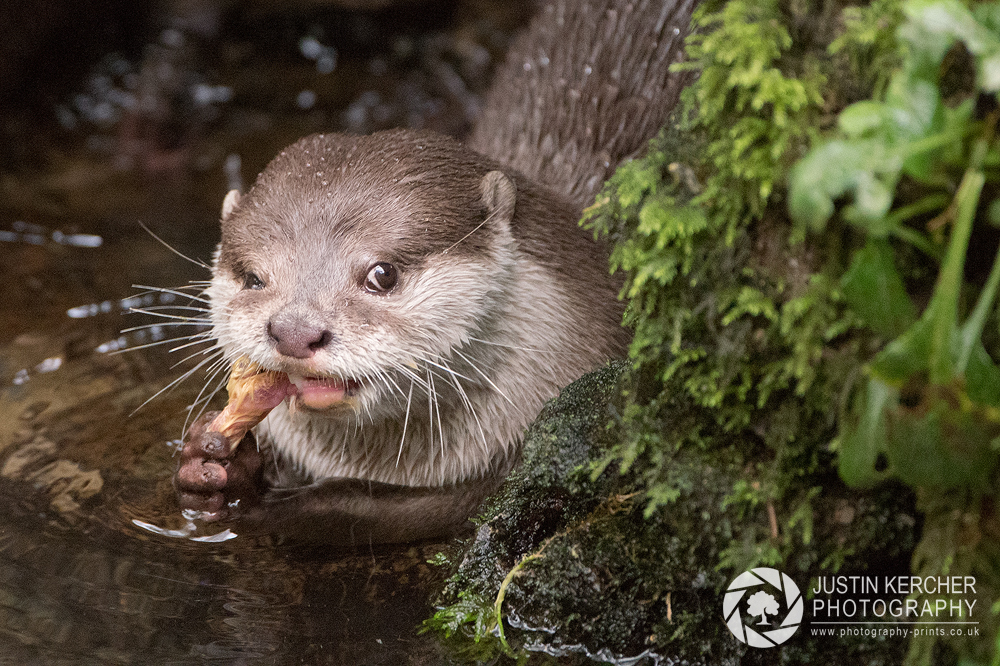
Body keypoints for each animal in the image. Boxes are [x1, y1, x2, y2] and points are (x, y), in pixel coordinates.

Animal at [174, 0, 696, 544]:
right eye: (254, 278)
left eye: (382, 274)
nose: (294, 331)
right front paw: (211, 466)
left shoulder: (494, 474)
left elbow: (371, 509)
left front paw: (263, 502)